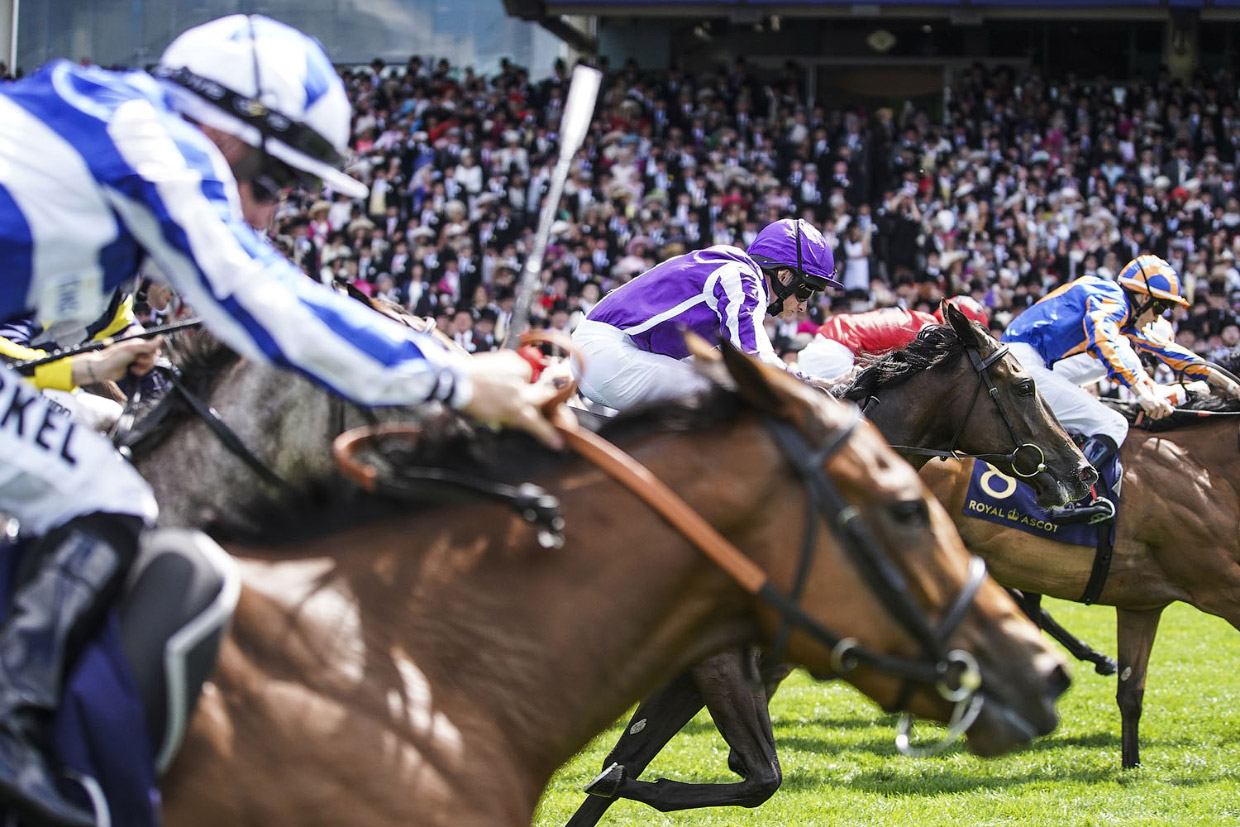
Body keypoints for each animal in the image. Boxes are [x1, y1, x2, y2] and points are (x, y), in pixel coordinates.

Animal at [562, 309, 1096, 827]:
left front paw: (613, 780)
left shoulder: (706, 662)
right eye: (1025, 385)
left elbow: (639, 762)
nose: (1082, 470)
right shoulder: (719, 660)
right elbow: (757, 775)